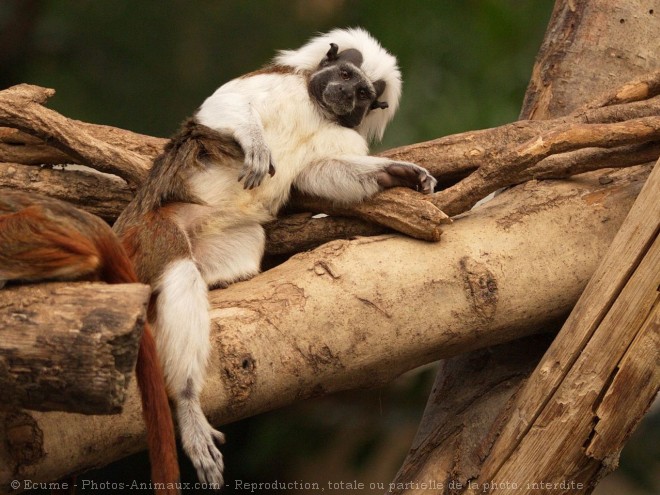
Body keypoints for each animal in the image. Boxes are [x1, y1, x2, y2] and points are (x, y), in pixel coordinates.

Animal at [114, 28, 438, 488]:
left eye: (363, 93)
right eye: (344, 73)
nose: (344, 93)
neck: (318, 110)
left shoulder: (343, 138)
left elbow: (318, 173)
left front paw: (396, 173)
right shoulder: (275, 82)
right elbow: (225, 104)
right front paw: (253, 142)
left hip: (222, 237)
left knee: (242, 246)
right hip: (148, 231)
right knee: (175, 263)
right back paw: (187, 401)